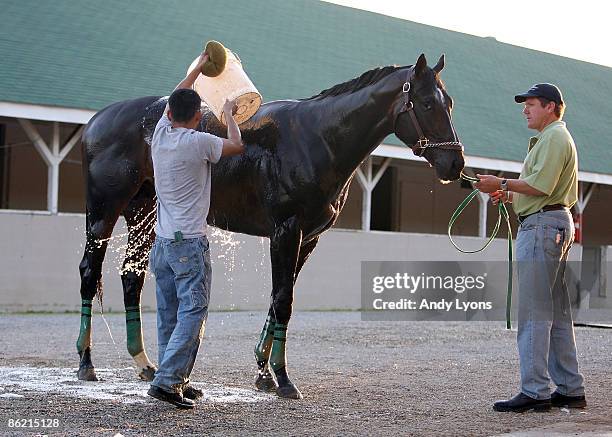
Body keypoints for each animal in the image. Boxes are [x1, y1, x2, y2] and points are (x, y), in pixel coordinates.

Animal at [76, 52, 464, 396]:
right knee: (88, 273)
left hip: (144, 213)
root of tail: (96, 122)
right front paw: (283, 378)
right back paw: (86, 363)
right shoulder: (286, 232)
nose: (455, 164)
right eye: (426, 103)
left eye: (449, 103)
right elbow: (283, 300)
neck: (318, 137)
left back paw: (145, 364)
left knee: (132, 277)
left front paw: (264, 373)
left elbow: (280, 297)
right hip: (103, 213)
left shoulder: (307, 239)